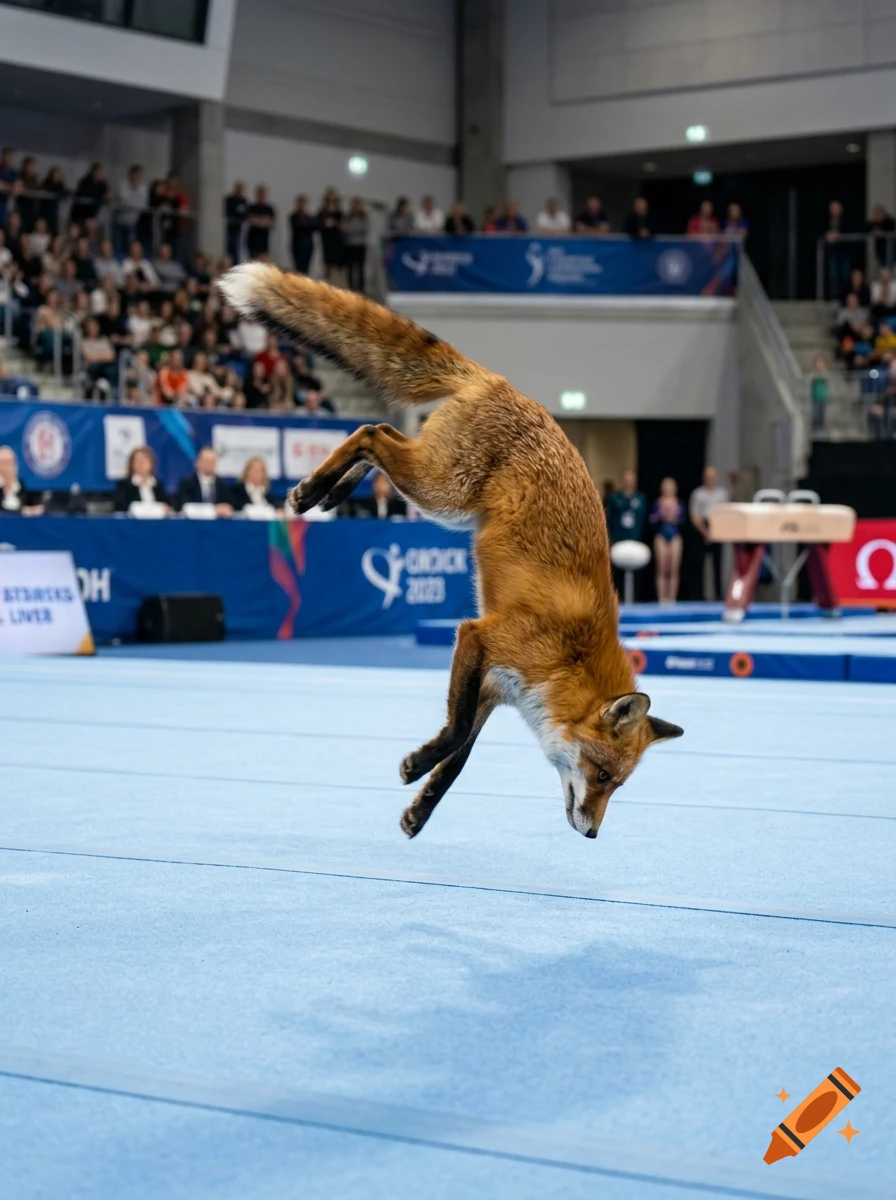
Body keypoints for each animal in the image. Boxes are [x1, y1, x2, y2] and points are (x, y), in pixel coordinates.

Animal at [218, 262, 683, 839]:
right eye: (601, 776)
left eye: (617, 785)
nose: (593, 833)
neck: (568, 660)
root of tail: (501, 383)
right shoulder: (479, 639)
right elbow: (457, 732)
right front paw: (416, 767)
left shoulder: (495, 683)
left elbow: (460, 754)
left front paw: (420, 807)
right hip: (442, 491)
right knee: (371, 433)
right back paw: (310, 491)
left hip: (437, 491)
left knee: (381, 433)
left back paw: (331, 494)